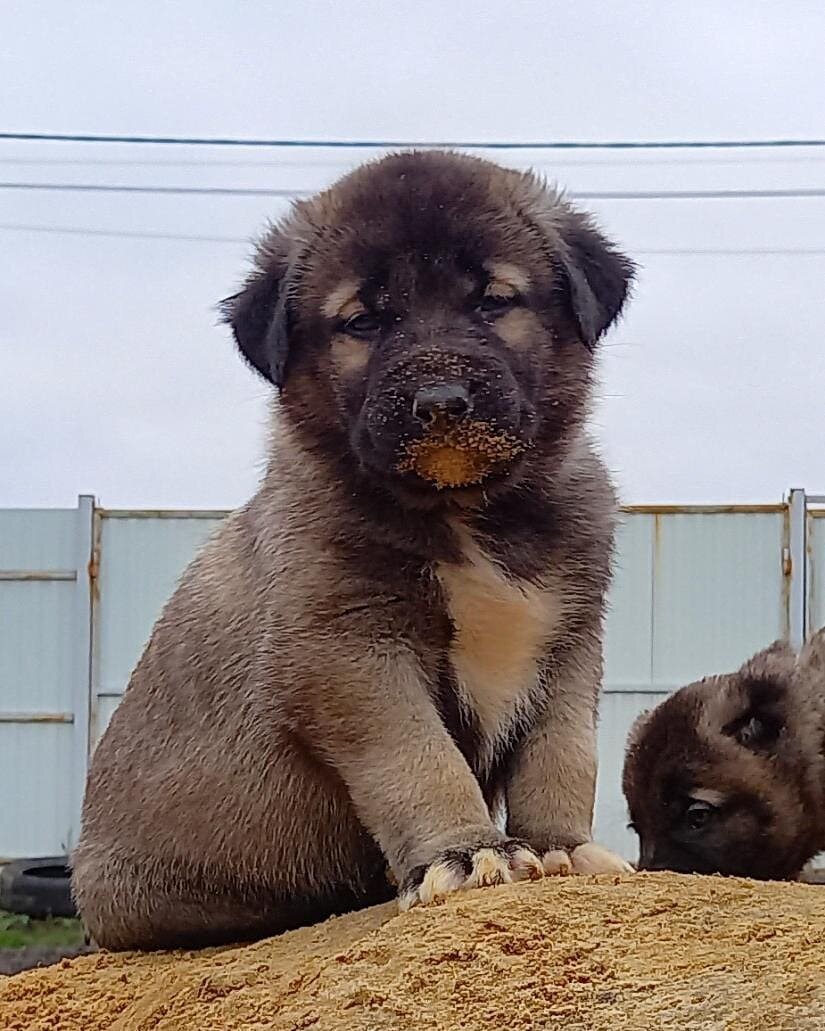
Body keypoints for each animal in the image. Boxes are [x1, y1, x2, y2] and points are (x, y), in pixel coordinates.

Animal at [74, 147, 635, 948]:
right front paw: (467, 852)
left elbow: (560, 752)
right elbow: (419, 758)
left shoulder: (567, 637)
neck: (464, 512)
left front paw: (561, 845)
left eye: (493, 301)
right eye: (363, 321)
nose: (440, 402)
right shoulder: (349, 651)